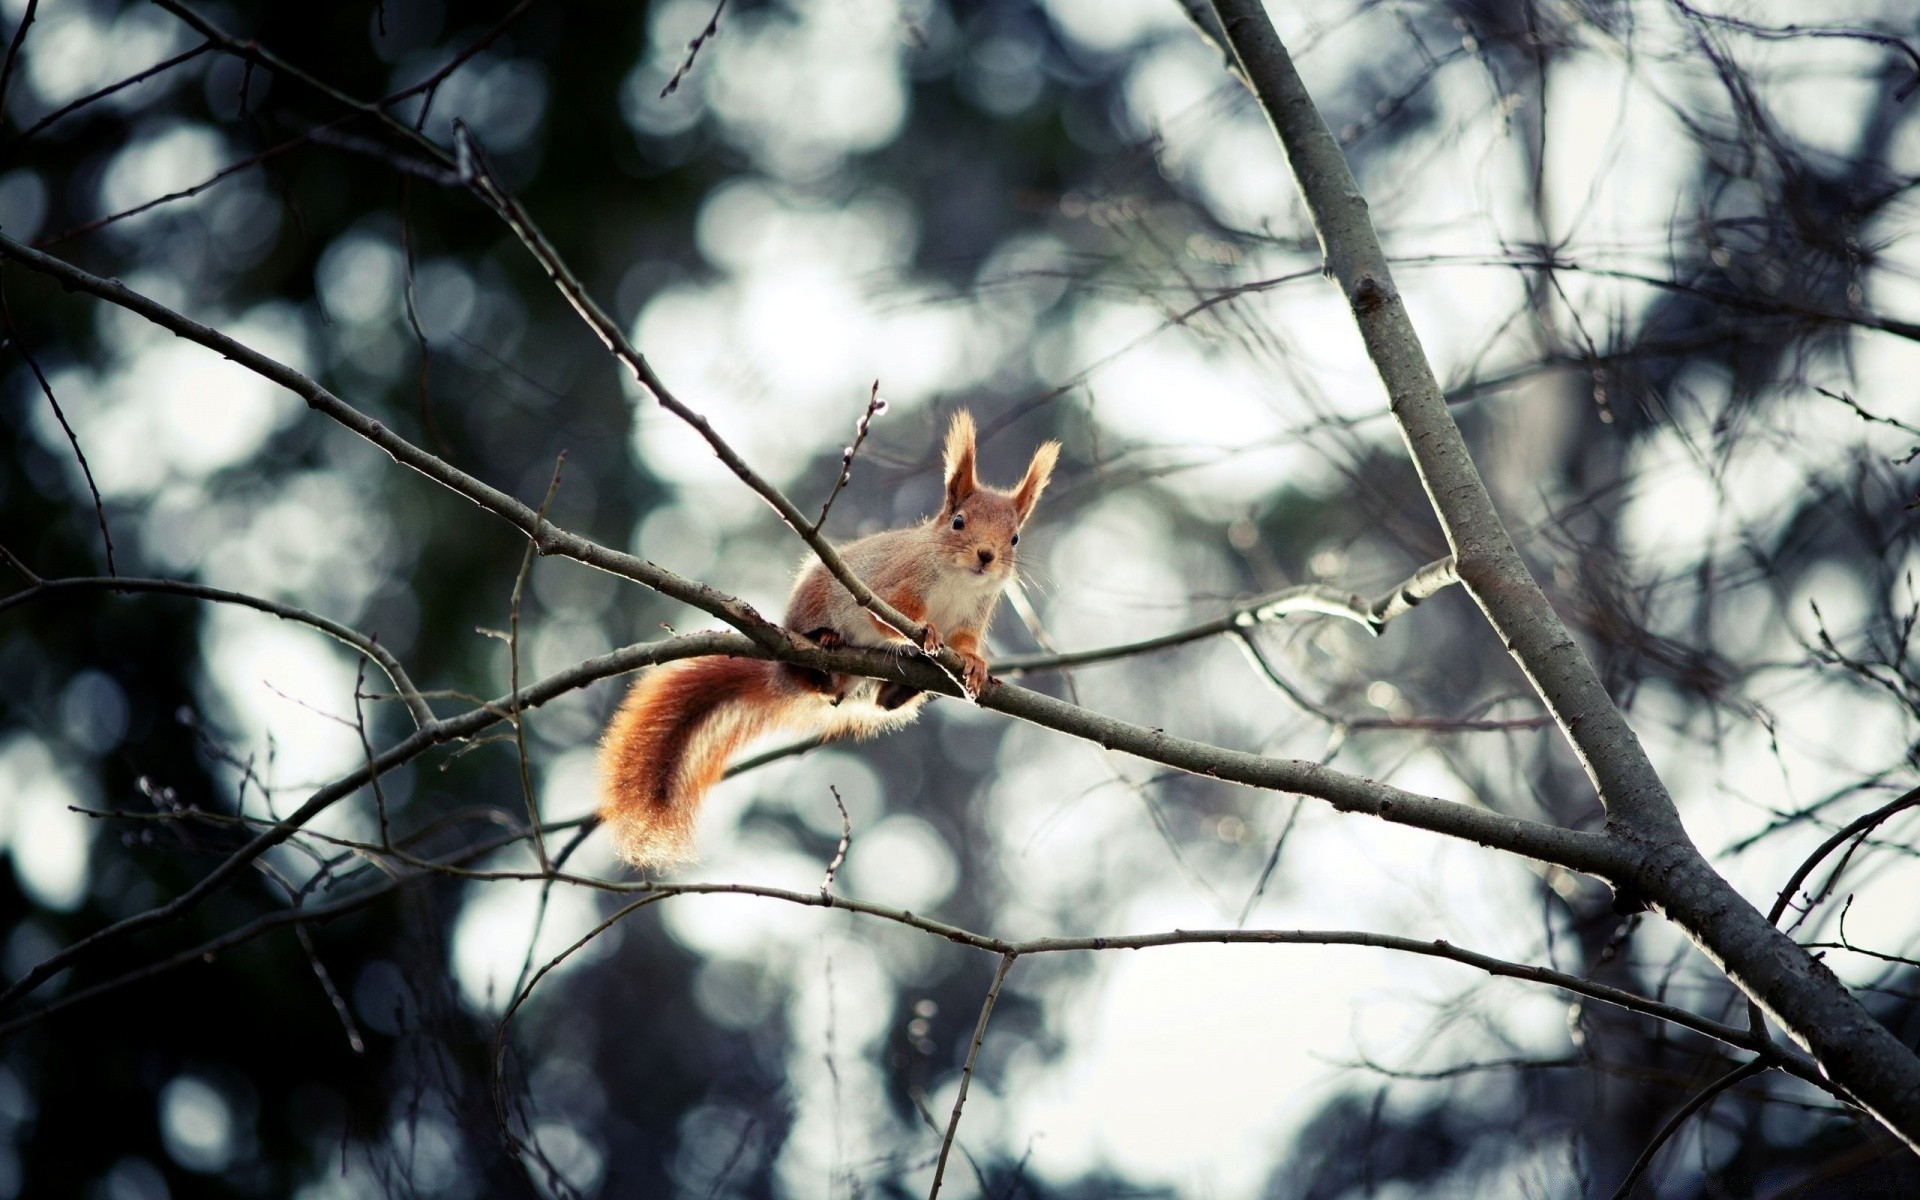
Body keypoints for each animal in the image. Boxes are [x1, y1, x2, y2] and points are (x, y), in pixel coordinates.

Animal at [595, 407, 1059, 864]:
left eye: (1015, 537)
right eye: (959, 522)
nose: (986, 556)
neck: (958, 580)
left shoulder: (972, 616)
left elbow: (964, 644)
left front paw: (975, 666)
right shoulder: (890, 586)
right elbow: (890, 618)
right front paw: (924, 631)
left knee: (876, 701)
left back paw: (897, 690)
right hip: (811, 610)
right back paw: (825, 644)